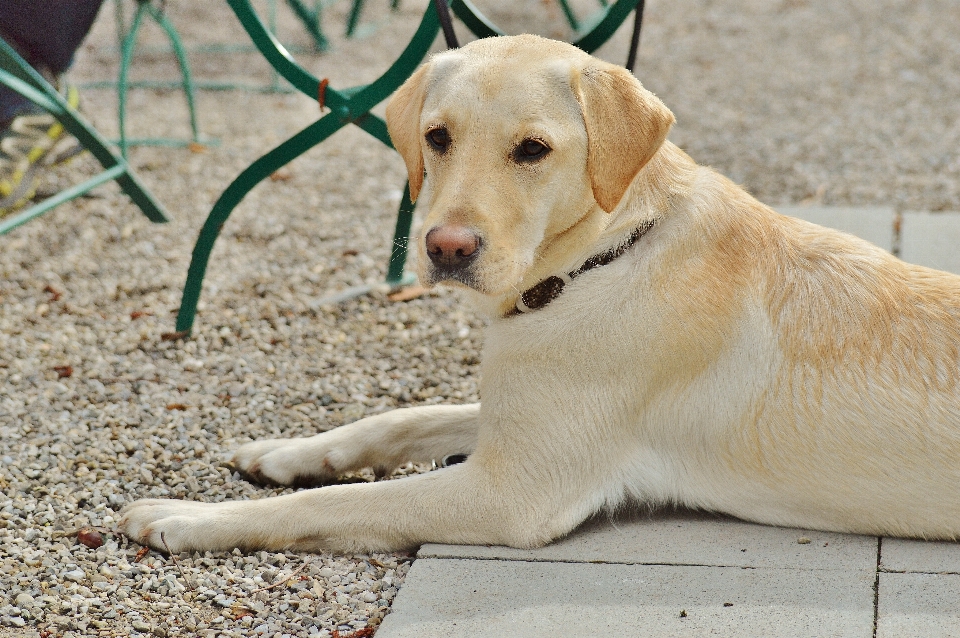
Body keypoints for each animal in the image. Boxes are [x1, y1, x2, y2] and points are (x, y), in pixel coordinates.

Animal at [120, 35, 960, 556]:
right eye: (437, 137)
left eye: (533, 149)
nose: (446, 248)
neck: (605, 254)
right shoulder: (511, 415)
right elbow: (402, 417)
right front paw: (286, 453)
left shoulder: (509, 490)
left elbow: (327, 507)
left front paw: (188, 518)